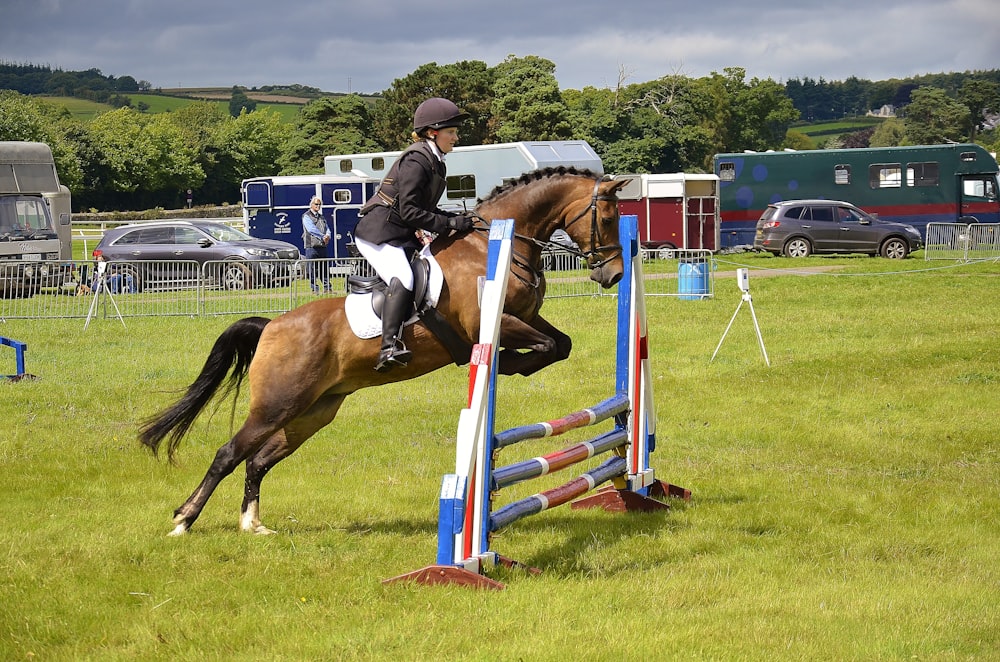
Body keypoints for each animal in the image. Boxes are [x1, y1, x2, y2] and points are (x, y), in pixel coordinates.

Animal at [139, 167, 624, 540]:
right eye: (606, 215)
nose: (615, 274)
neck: (495, 246)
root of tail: (272, 325)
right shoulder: (492, 322)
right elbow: (541, 346)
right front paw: (505, 365)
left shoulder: (526, 316)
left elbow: (560, 344)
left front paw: (511, 365)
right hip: (277, 404)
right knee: (228, 453)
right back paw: (184, 521)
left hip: (312, 412)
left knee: (257, 459)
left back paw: (252, 525)